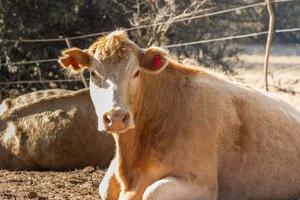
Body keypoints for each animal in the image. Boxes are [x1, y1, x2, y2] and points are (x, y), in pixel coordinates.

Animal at [58, 30, 300, 200]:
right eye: (93, 73)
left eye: (136, 73)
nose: (116, 116)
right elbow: (106, 187)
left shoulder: (203, 186)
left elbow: (151, 192)